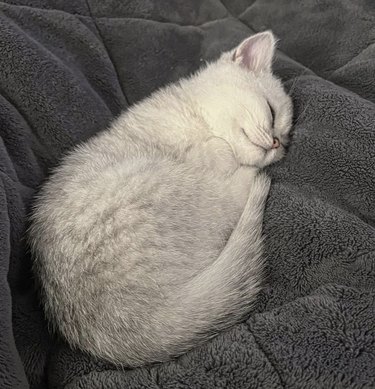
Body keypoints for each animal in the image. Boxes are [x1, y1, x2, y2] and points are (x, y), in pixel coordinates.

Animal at [29, 31, 294, 366]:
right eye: (271, 113)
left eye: (284, 139)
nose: (276, 144)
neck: (196, 114)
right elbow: (217, 150)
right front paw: (222, 151)